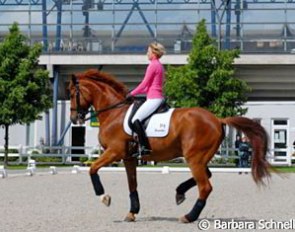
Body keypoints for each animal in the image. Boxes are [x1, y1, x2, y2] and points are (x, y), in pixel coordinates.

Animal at [70, 68, 272, 223]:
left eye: (73, 94)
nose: (74, 119)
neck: (114, 113)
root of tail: (217, 119)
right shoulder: (128, 158)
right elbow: (132, 184)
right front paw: (132, 213)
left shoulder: (114, 152)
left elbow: (93, 169)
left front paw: (104, 197)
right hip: (199, 158)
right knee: (207, 175)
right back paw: (180, 193)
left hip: (194, 158)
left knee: (205, 186)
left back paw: (189, 216)